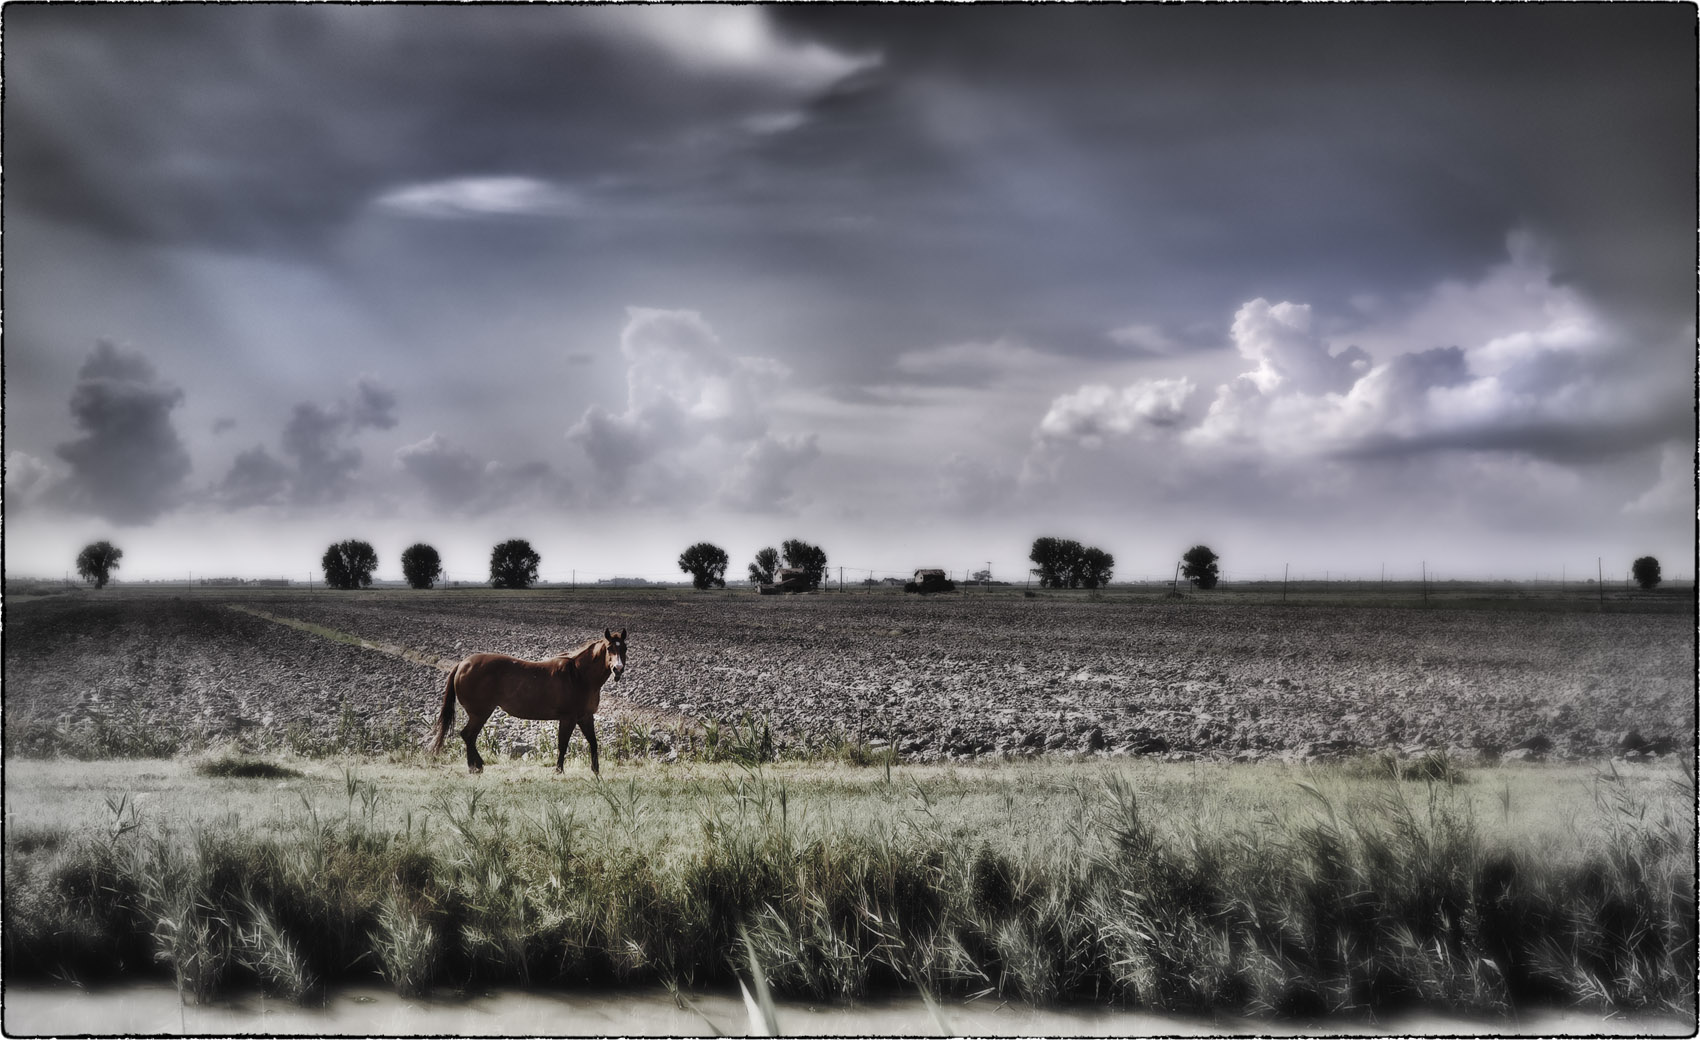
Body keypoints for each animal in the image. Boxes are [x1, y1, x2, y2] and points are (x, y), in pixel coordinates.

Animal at [431, 621, 632, 774]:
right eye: (609, 648)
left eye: (625, 648)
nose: (618, 669)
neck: (578, 675)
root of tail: (462, 664)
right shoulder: (568, 718)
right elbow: (563, 744)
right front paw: (559, 770)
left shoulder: (585, 717)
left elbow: (593, 742)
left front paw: (596, 770)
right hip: (480, 713)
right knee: (467, 735)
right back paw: (476, 766)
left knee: (468, 736)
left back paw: (475, 766)